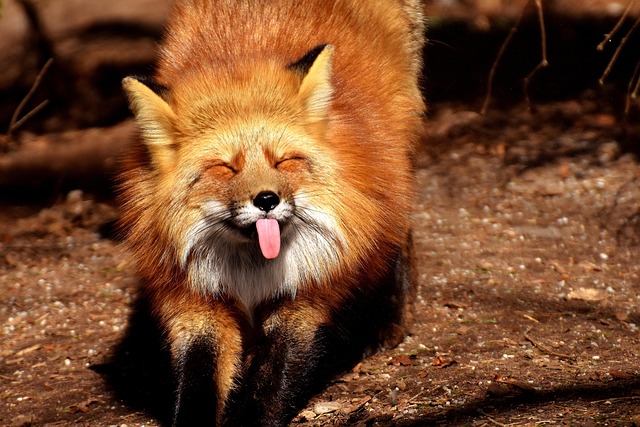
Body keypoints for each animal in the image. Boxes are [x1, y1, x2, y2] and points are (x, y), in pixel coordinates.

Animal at [118, 0, 426, 425]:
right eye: (225, 167)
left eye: (283, 161)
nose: (266, 199)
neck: (252, 271)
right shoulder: (195, 300)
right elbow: (198, 376)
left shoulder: (306, 294)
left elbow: (272, 379)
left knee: (401, 227)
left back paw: (389, 323)